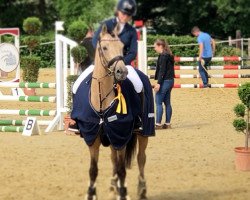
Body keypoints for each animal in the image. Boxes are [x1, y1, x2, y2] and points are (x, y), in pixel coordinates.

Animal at [71, 24, 154, 199]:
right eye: (104, 47)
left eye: (122, 47)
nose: (121, 72)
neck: (101, 99)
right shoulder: (93, 137)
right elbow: (93, 170)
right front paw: (91, 194)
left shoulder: (120, 135)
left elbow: (122, 169)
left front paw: (123, 194)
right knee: (113, 160)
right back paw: (113, 186)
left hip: (144, 132)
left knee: (141, 159)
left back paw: (141, 189)